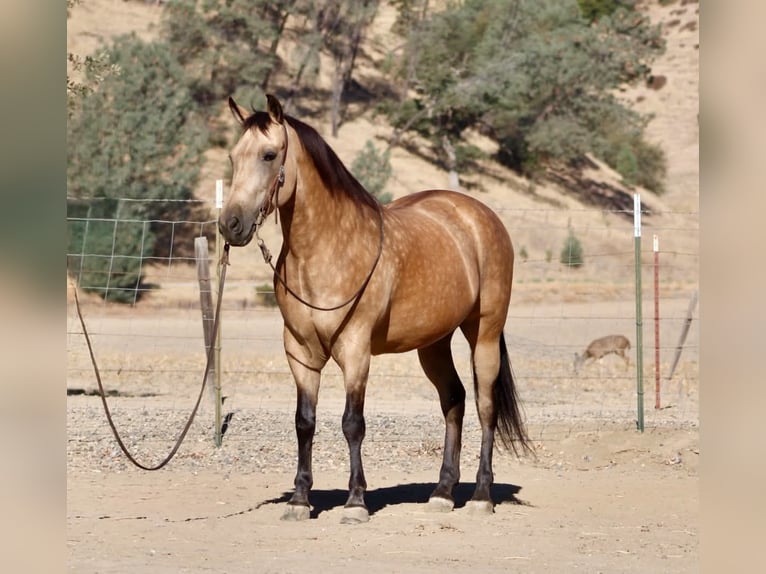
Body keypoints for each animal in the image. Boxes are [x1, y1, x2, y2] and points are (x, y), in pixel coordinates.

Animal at [219, 94, 531, 524]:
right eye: (233, 157)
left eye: (268, 155)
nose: (230, 225)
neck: (327, 250)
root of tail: (480, 216)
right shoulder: (299, 354)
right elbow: (304, 423)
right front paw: (300, 500)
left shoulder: (355, 351)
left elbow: (353, 423)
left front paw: (355, 502)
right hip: (433, 344)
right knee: (454, 400)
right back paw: (442, 492)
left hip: (483, 333)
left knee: (486, 406)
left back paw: (481, 495)